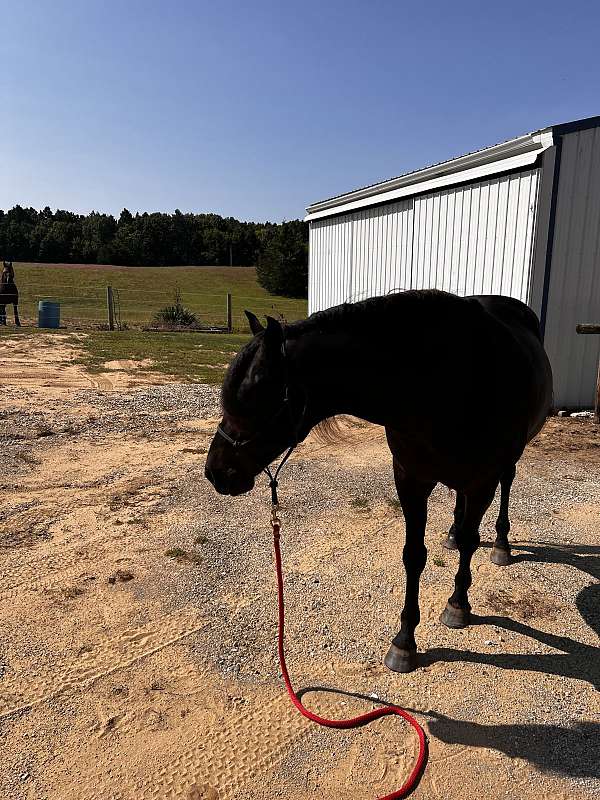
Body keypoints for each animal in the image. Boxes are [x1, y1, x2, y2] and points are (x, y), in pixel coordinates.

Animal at [204, 290, 552, 672]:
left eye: (253, 398)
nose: (215, 472)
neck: (447, 384)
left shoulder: (481, 483)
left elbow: (469, 544)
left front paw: (458, 605)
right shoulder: (411, 480)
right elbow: (414, 555)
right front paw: (404, 641)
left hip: (505, 466)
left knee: (506, 487)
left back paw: (501, 544)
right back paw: (451, 532)